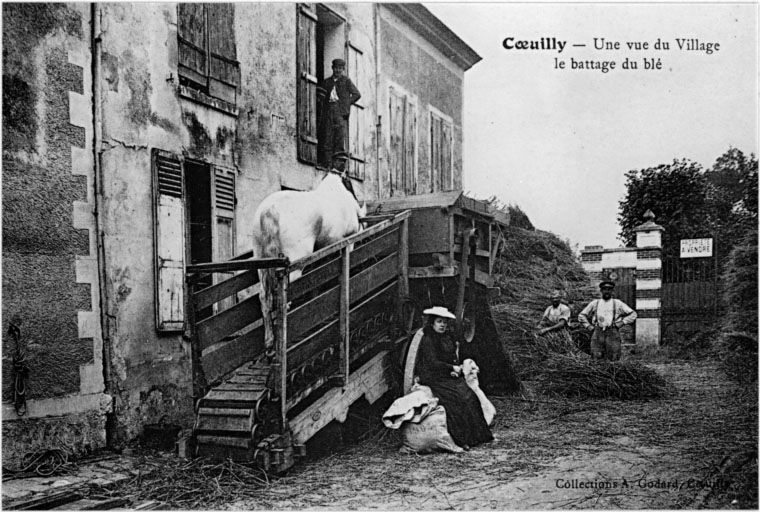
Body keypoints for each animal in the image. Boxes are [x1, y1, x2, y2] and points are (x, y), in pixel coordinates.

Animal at [252, 171, 366, 352]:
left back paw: (269, 343)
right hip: (294, 262)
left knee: (264, 296)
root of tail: (269, 210)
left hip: (261, 261)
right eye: (349, 185)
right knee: (284, 298)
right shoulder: (347, 241)